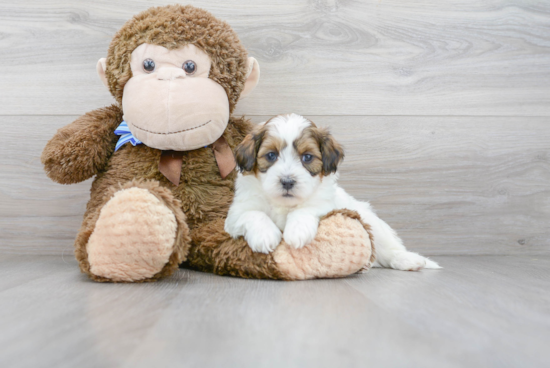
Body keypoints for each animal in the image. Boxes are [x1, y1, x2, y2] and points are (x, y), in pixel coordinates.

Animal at [225, 113, 444, 272]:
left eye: (307, 157)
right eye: (271, 155)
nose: (287, 181)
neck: (284, 204)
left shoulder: (326, 204)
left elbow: (306, 209)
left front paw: (297, 231)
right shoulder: (235, 214)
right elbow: (253, 213)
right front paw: (265, 235)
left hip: (373, 224)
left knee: (388, 248)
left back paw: (410, 260)